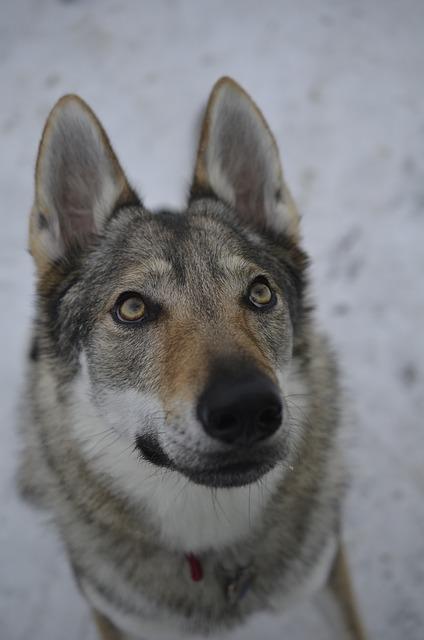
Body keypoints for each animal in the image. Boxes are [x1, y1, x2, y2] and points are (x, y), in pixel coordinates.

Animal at [18, 77, 366, 636]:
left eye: (260, 293)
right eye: (132, 308)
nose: (247, 408)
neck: (214, 540)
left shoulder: (327, 571)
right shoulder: (114, 615)